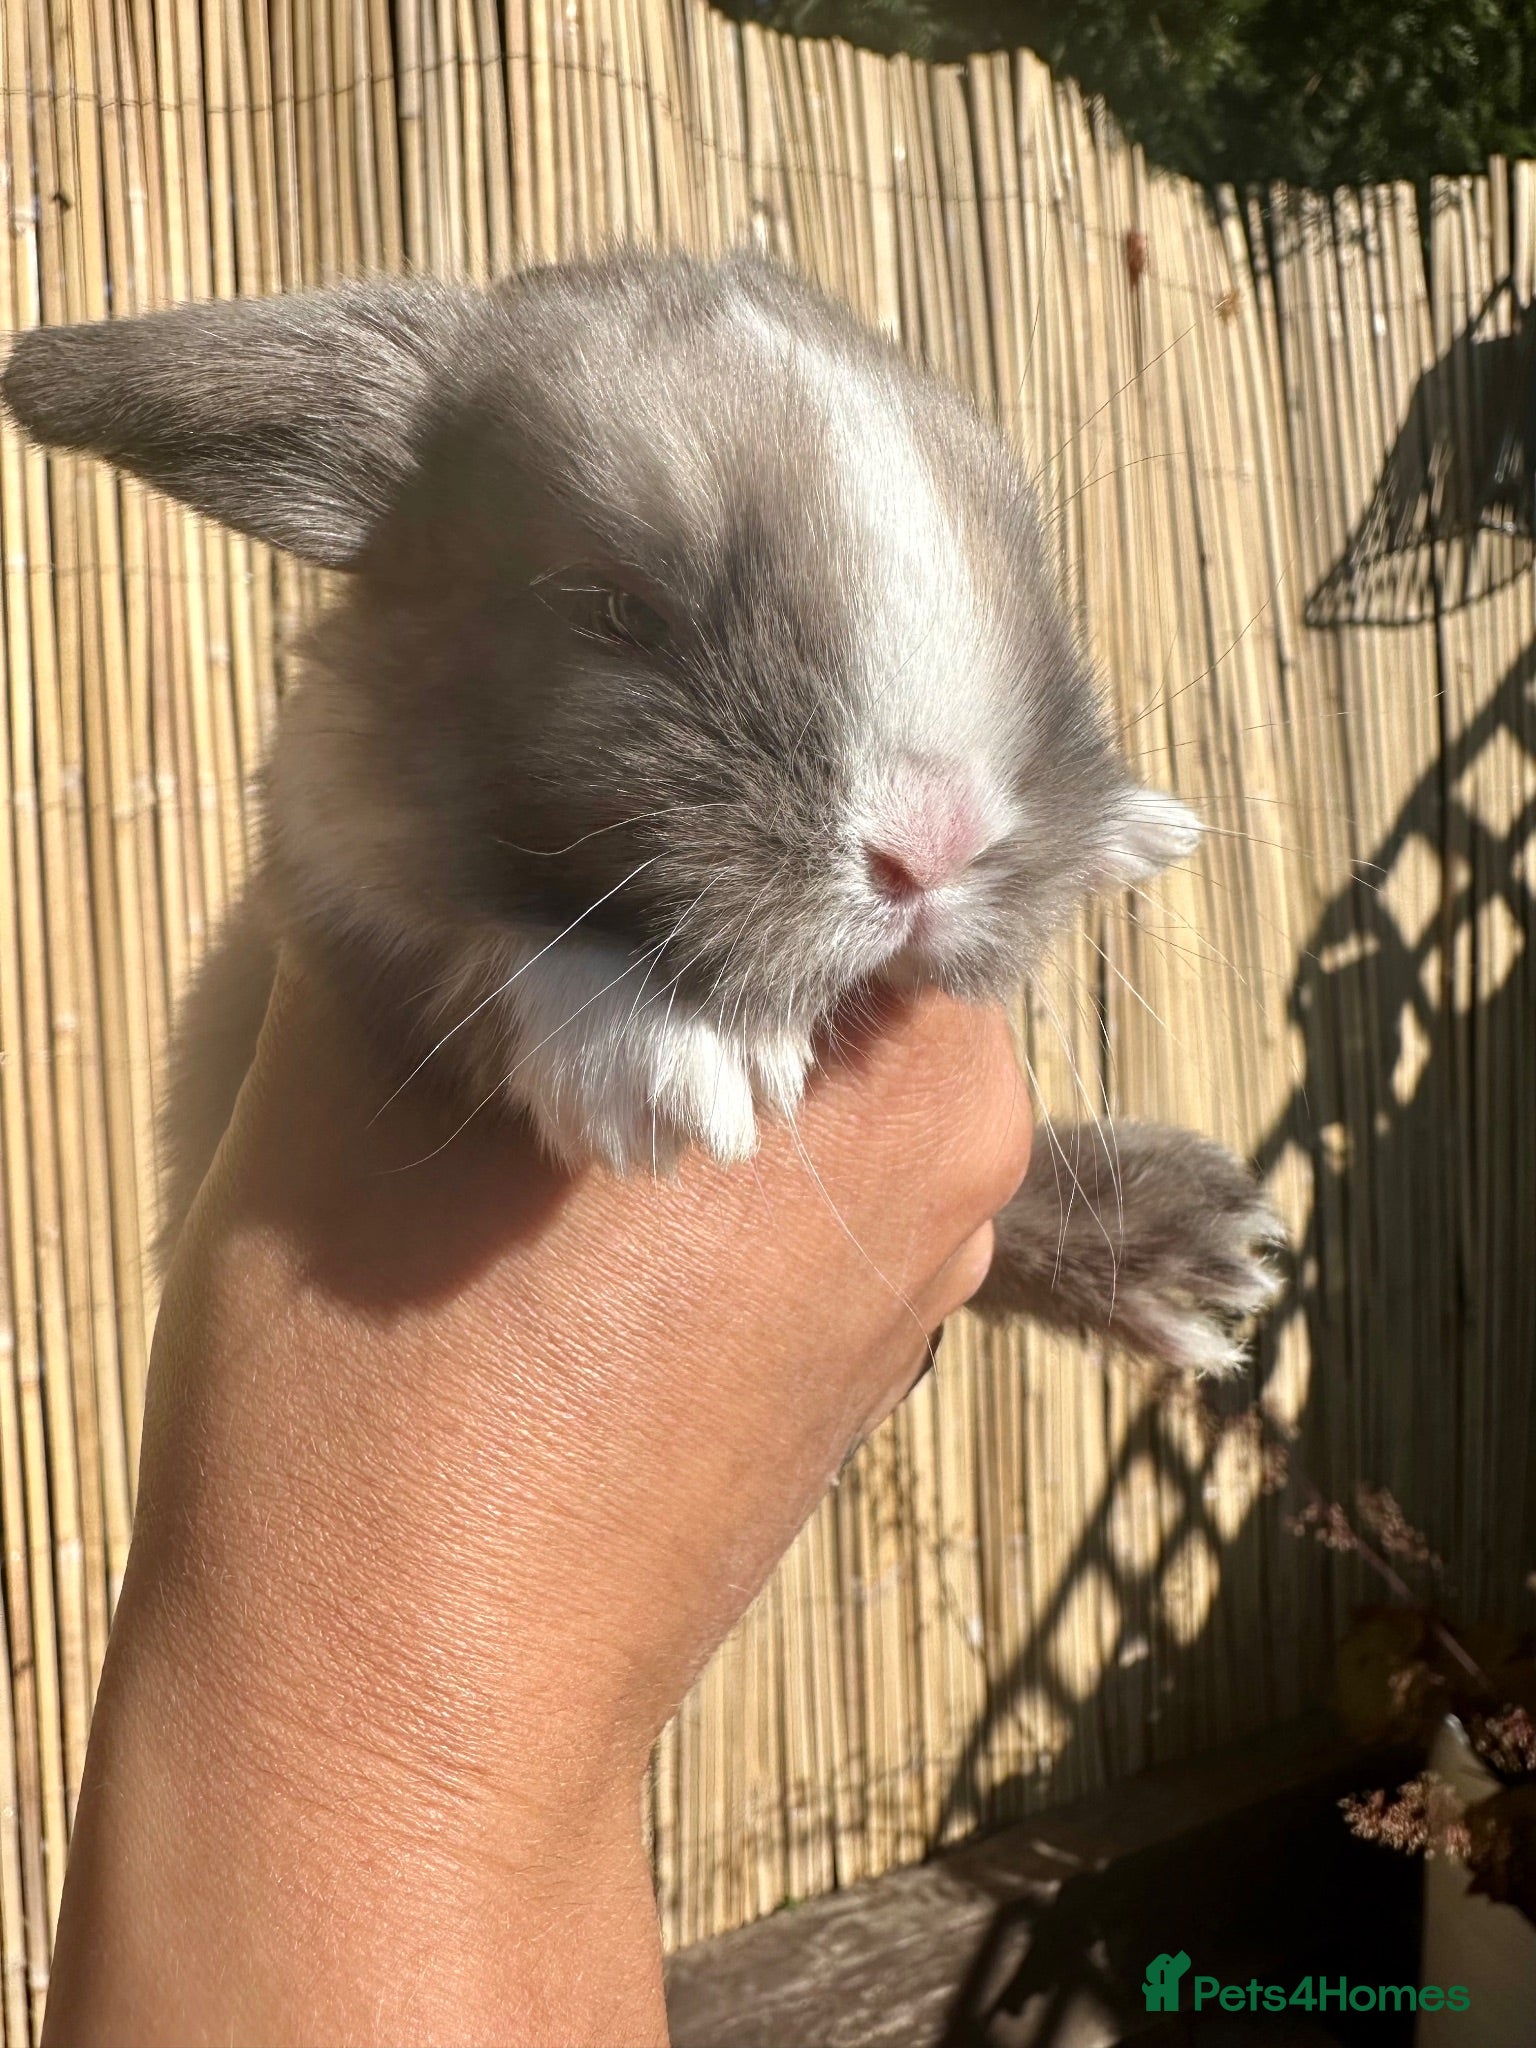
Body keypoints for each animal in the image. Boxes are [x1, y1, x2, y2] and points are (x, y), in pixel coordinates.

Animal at [1, 246, 1285, 1374]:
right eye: (608, 609)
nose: (935, 843)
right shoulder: (335, 891)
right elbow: (482, 950)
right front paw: (664, 1060)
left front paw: (1139, 826)